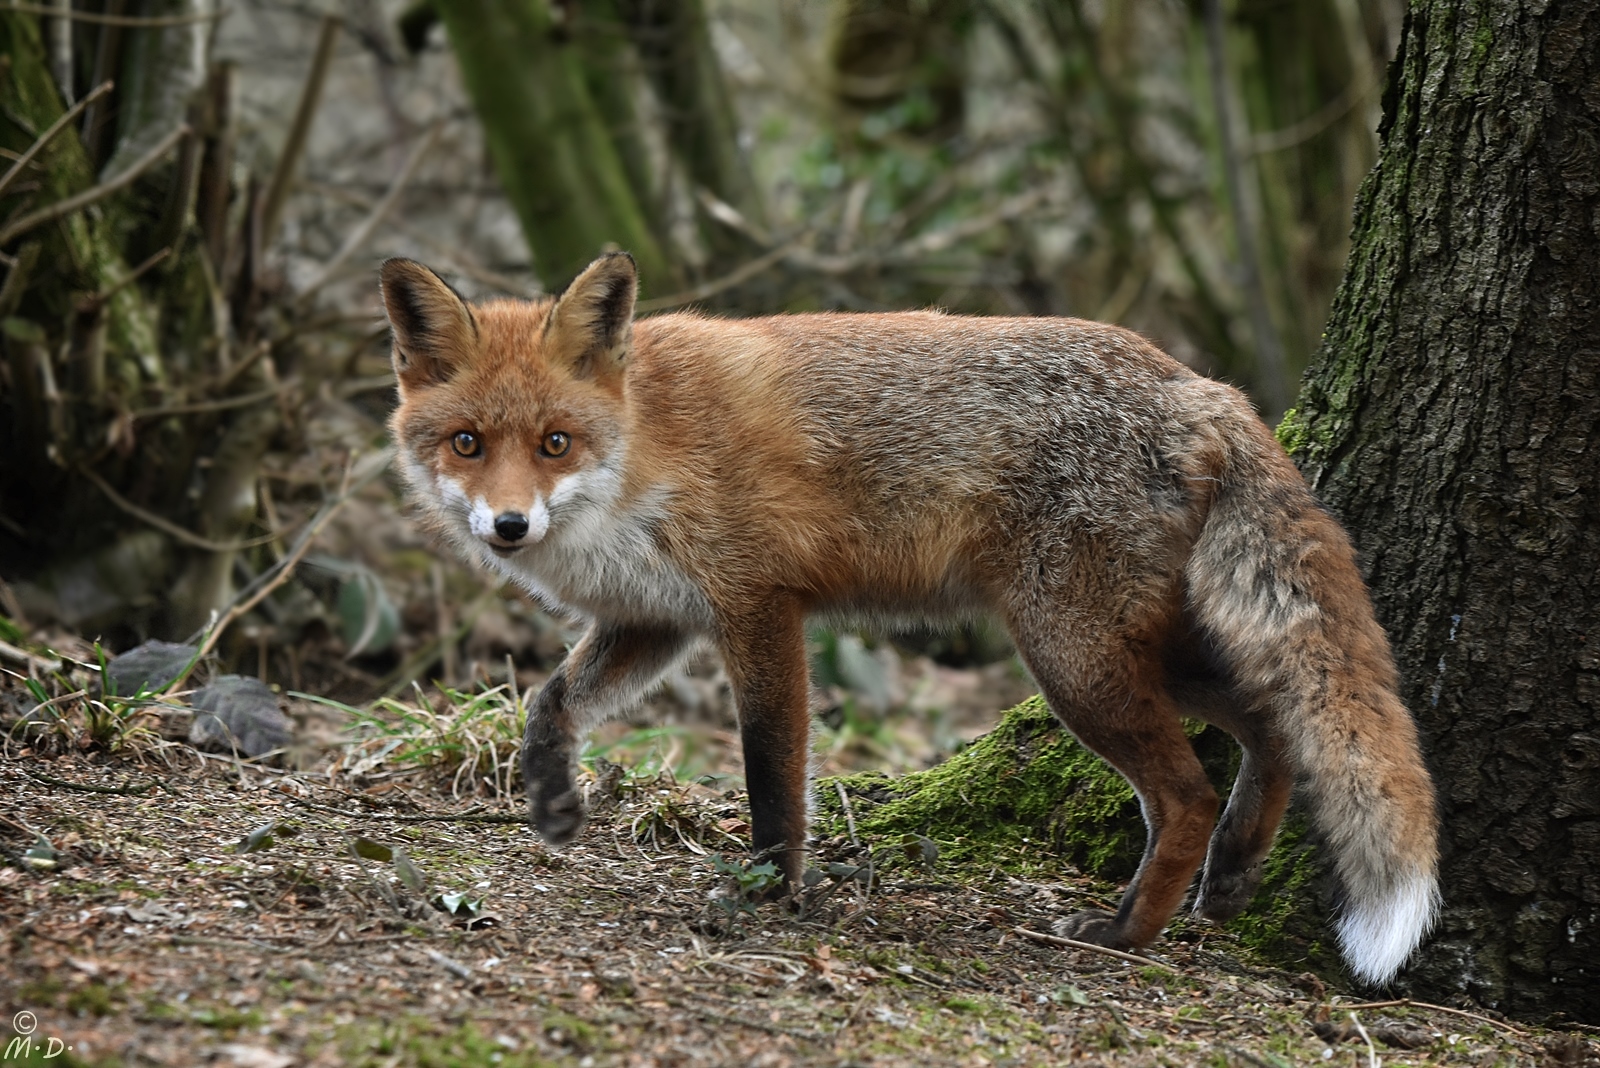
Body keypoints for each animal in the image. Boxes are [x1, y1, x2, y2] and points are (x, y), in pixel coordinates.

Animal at [384, 251, 1440, 984]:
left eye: (555, 443)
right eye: (467, 444)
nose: (509, 526)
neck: (642, 448)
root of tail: (1201, 385)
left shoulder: (758, 607)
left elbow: (774, 773)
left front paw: (769, 889)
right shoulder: (658, 620)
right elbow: (550, 701)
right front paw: (552, 800)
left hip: (1072, 658)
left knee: (1186, 793)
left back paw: (1124, 932)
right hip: (1138, 646)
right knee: (1273, 722)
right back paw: (1231, 876)